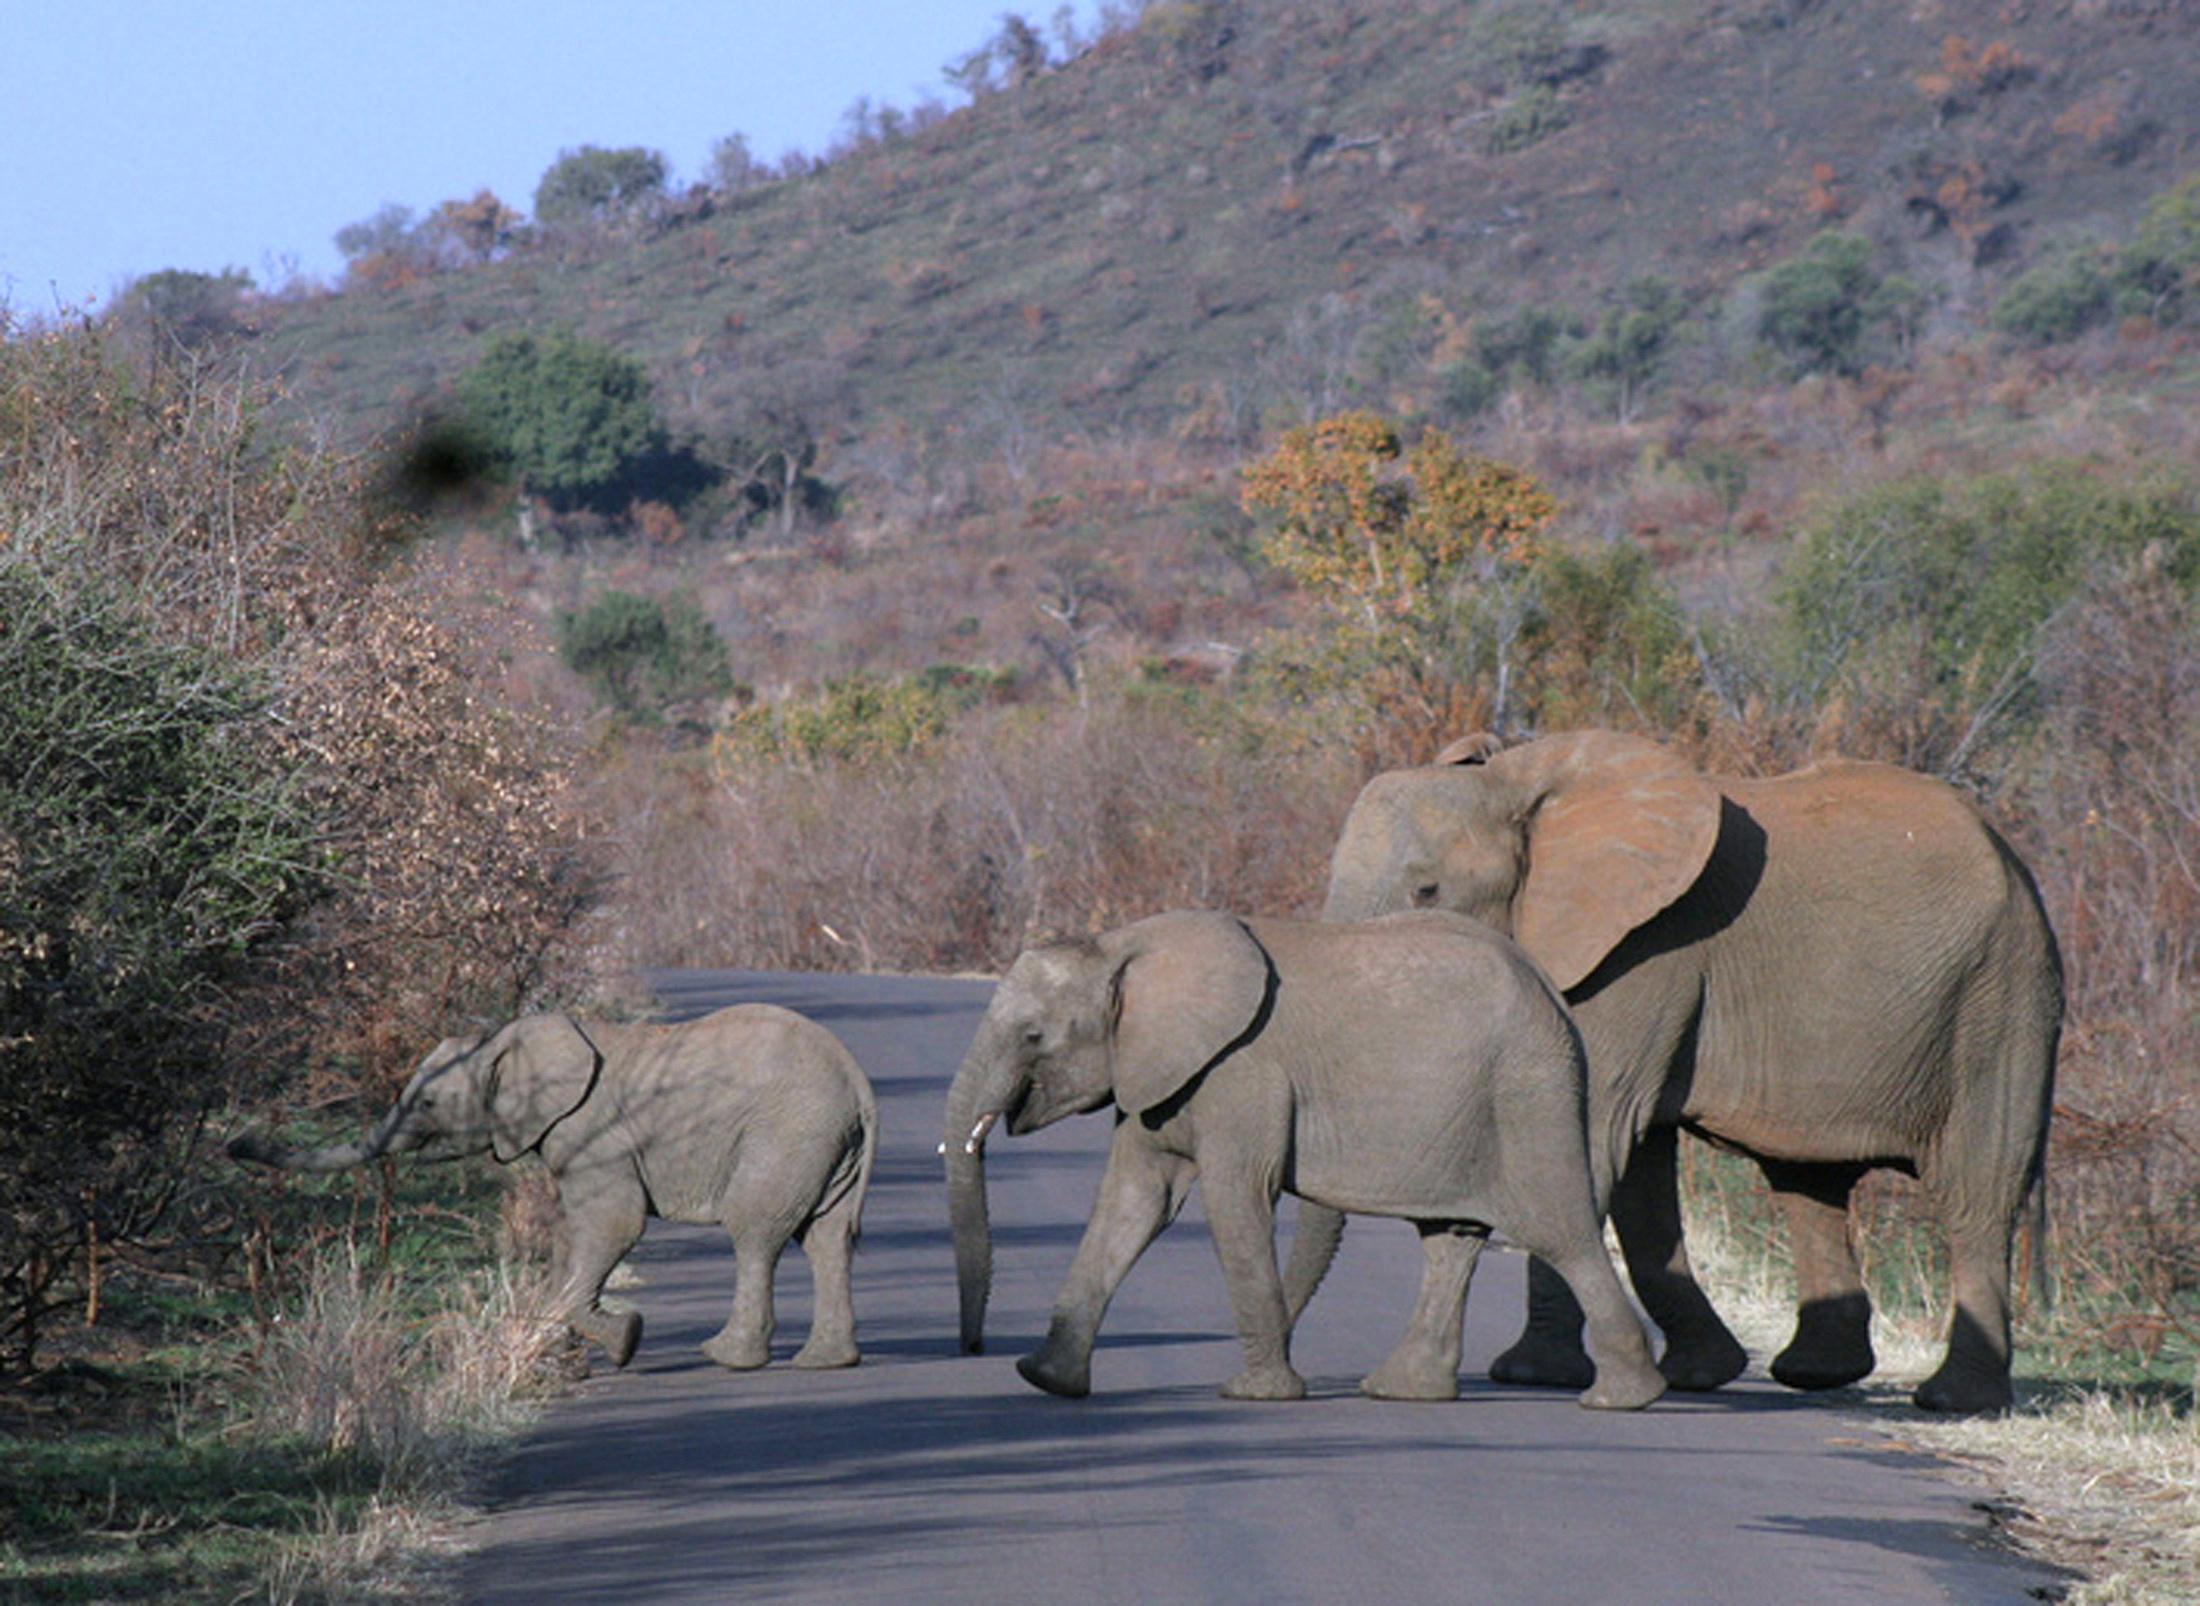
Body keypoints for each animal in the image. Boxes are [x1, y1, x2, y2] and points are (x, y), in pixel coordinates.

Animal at [227, 1003, 871, 1364]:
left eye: (429, 1102)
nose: (236, 1144)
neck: (503, 1042)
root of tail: (855, 1079)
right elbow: (571, 1233)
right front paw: (568, 1353)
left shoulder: (593, 1132)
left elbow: (613, 1226)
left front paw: (626, 1340)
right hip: (827, 1145)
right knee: (828, 1237)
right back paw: (826, 1362)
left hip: (786, 1134)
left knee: (756, 1233)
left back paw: (727, 1356)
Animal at [941, 906, 1663, 1408]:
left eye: (1033, 1037)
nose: (973, 1347)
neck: (1120, 947)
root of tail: (1551, 992)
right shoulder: (1158, 1075)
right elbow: (1133, 1203)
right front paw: (1046, 1380)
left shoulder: (1241, 1073)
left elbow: (1234, 1200)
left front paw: (1255, 1395)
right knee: (1451, 1238)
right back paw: (1402, 1390)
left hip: (1528, 1092)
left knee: (1558, 1230)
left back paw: (1622, 1399)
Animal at [1320, 730, 2059, 1408]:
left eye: (1426, 890)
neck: (1513, 782)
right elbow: (1635, 1169)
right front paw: (1697, 1374)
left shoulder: (1644, 950)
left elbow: (1587, 1137)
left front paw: (1532, 1377)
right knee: (1807, 1183)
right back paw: (1816, 1374)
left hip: (1998, 1003)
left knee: (1976, 1193)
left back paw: (1953, 1401)